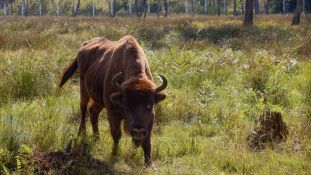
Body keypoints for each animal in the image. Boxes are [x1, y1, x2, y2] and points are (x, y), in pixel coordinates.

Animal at [59, 34, 167, 165]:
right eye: (126, 105)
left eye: (150, 105)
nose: (138, 130)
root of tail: (84, 45)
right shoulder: (112, 112)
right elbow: (116, 135)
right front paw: (114, 155)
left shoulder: (151, 116)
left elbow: (147, 141)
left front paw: (148, 164)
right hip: (83, 87)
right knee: (83, 108)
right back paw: (81, 133)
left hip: (99, 100)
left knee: (93, 113)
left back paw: (97, 138)